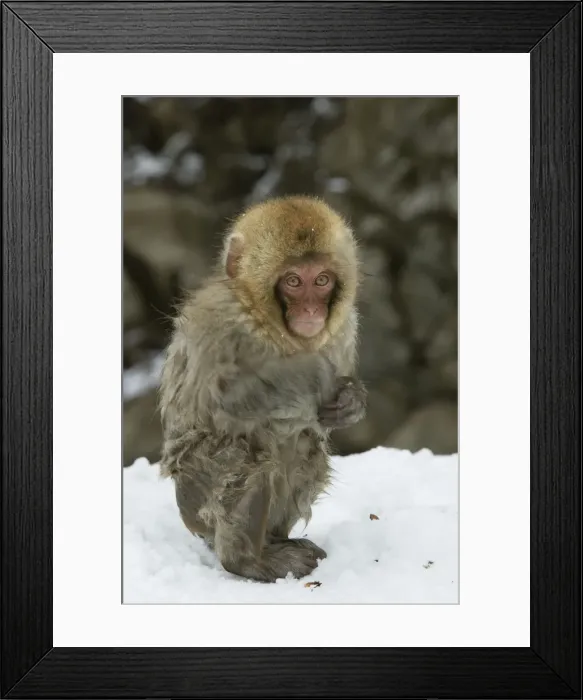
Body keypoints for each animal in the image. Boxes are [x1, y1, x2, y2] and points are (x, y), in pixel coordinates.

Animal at [158, 195, 366, 583]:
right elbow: (227, 399)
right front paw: (314, 370)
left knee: (303, 444)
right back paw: (245, 561)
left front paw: (351, 402)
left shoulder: (346, 327)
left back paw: (274, 542)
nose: (311, 310)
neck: (269, 324)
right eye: (294, 281)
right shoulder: (221, 322)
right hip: (195, 499)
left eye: (322, 280)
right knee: (248, 451)